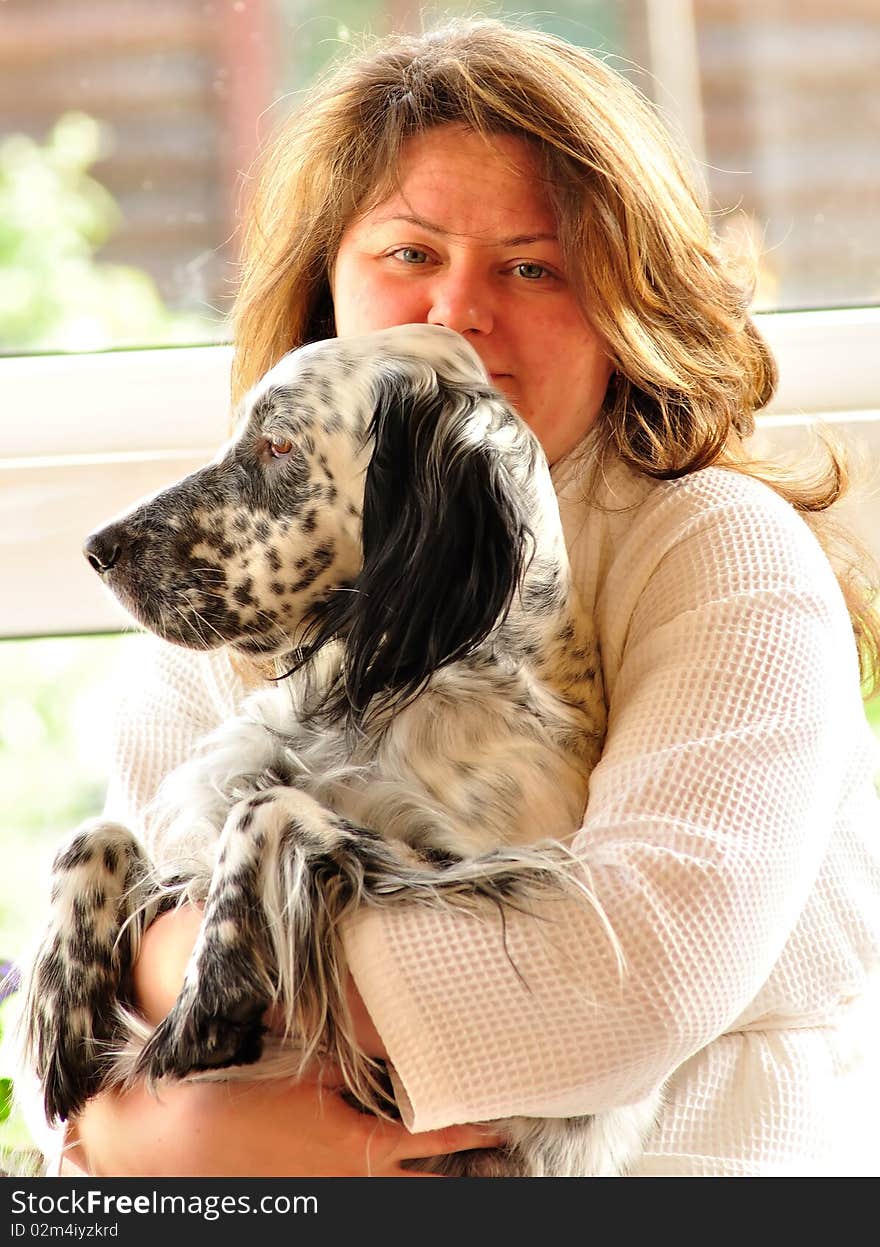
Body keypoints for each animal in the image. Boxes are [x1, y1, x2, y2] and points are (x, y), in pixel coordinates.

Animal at [20, 324, 658, 1177]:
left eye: (278, 444)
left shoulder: (507, 880)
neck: (382, 692)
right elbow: (102, 832)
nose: (98, 548)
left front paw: (213, 988)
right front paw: (66, 1000)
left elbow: (270, 808)